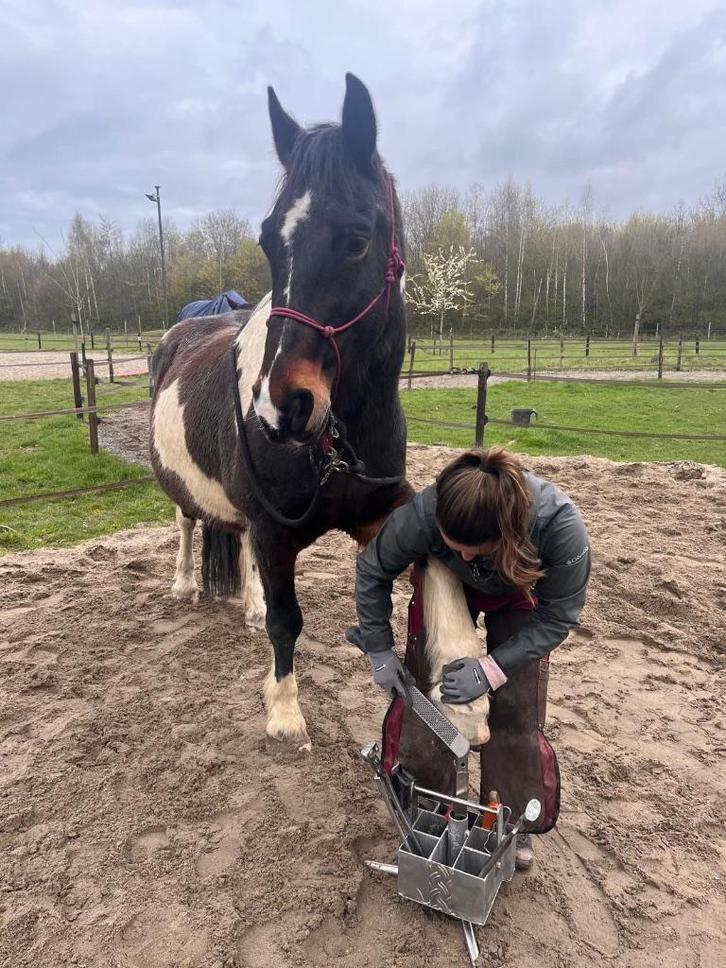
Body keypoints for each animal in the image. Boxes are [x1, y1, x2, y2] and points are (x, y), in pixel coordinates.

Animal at [149, 74, 489, 752]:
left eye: (357, 239)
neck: (335, 440)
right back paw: (185, 584)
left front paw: (466, 689)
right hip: (188, 495)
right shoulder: (275, 528)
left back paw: (246, 603)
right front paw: (283, 711)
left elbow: (437, 561)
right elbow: (288, 621)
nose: (280, 406)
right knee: (189, 524)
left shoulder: (378, 508)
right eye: (267, 239)